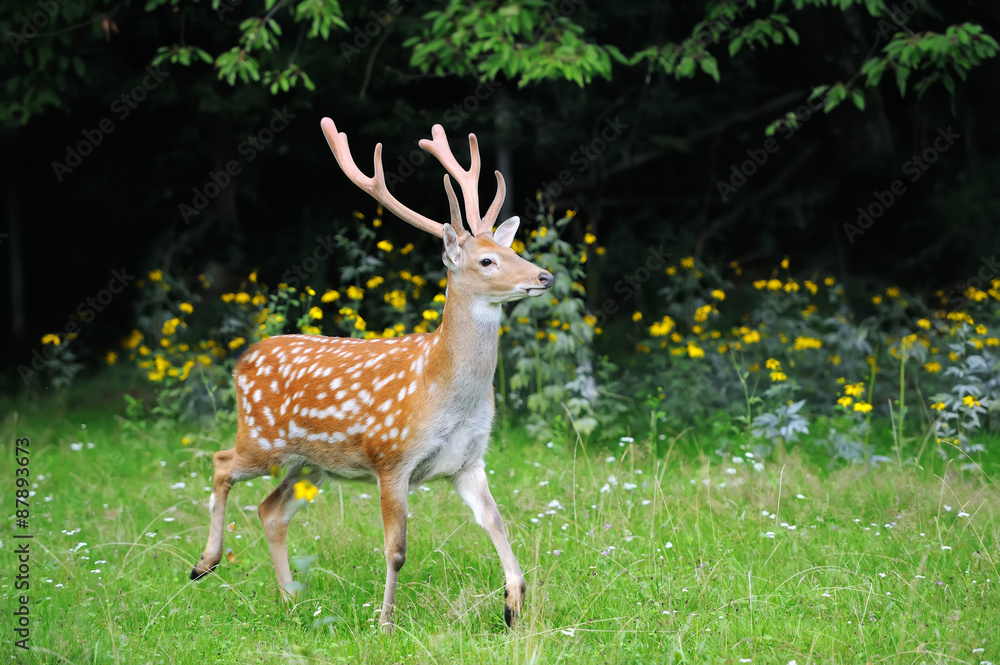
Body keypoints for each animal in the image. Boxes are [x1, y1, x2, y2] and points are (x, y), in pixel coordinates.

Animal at [190, 116, 552, 632]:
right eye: (486, 260)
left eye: (514, 249)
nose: (543, 276)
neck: (446, 392)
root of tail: (242, 359)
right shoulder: (391, 458)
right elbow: (396, 549)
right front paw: (385, 623)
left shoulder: (468, 461)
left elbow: (497, 523)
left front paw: (514, 604)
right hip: (262, 439)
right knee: (222, 463)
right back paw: (206, 563)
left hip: (312, 464)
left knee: (270, 509)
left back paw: (290, 598)